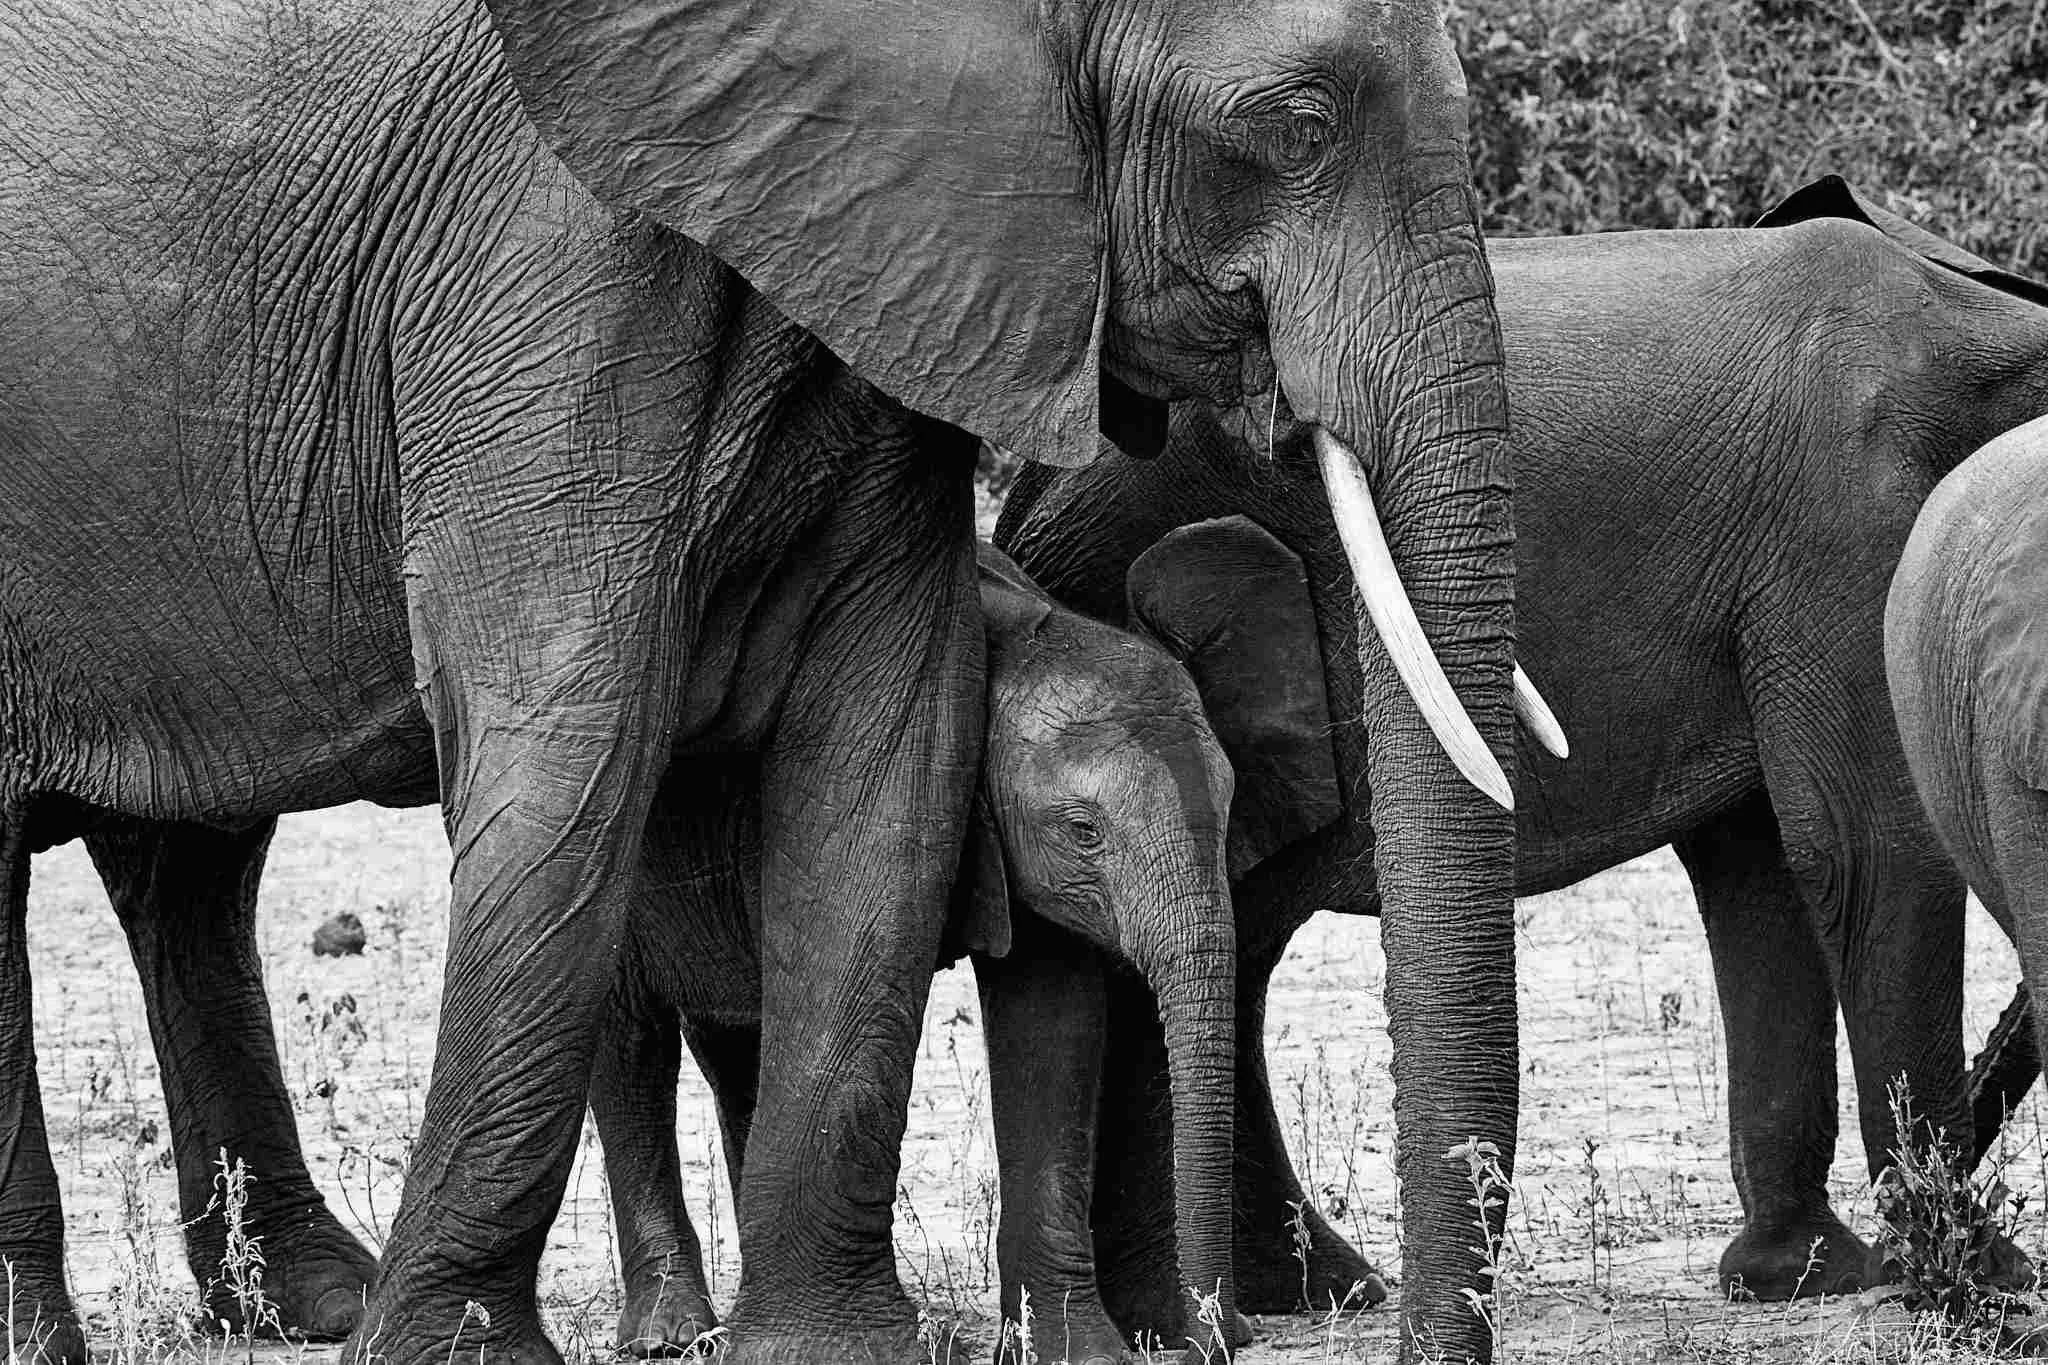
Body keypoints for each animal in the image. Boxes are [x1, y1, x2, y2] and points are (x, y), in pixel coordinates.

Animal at [3, 0, 1524, 1360]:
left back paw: (306, 1307)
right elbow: (573, 736)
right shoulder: (541, 268)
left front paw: (826, 1345)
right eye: (1297, 126)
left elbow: (884, 753)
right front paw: (454, 1353)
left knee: (188, 866)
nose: (1237, 1335)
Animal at [994, 176, 2048, 1324]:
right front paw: (1982, 1277)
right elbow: (1866, 849)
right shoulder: (1845, 524)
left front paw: (1799, 1275)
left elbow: (1760, 865)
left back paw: (1305, 1293)